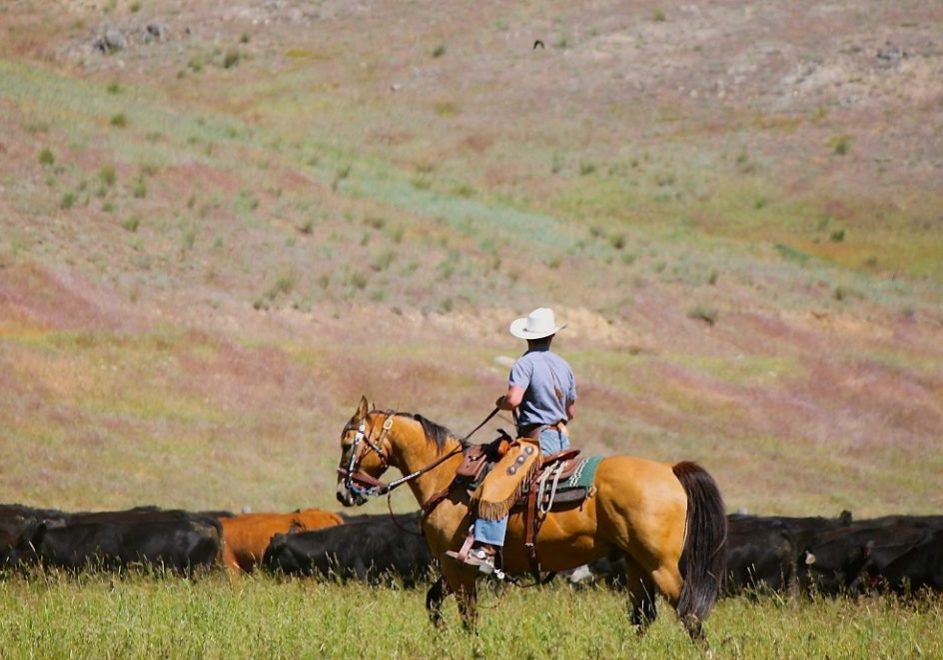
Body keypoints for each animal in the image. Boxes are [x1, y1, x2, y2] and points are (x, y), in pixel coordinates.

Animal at [336, 398, 728, 640]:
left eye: (347, 442)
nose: (343, 493)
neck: (448, 477)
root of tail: (670, 469)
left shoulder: (459, 566)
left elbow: (467, 615)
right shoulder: (450, 566)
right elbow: (433, 601)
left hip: (660, 565)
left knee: (689, 614)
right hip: (637, 565)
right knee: (643, 616)